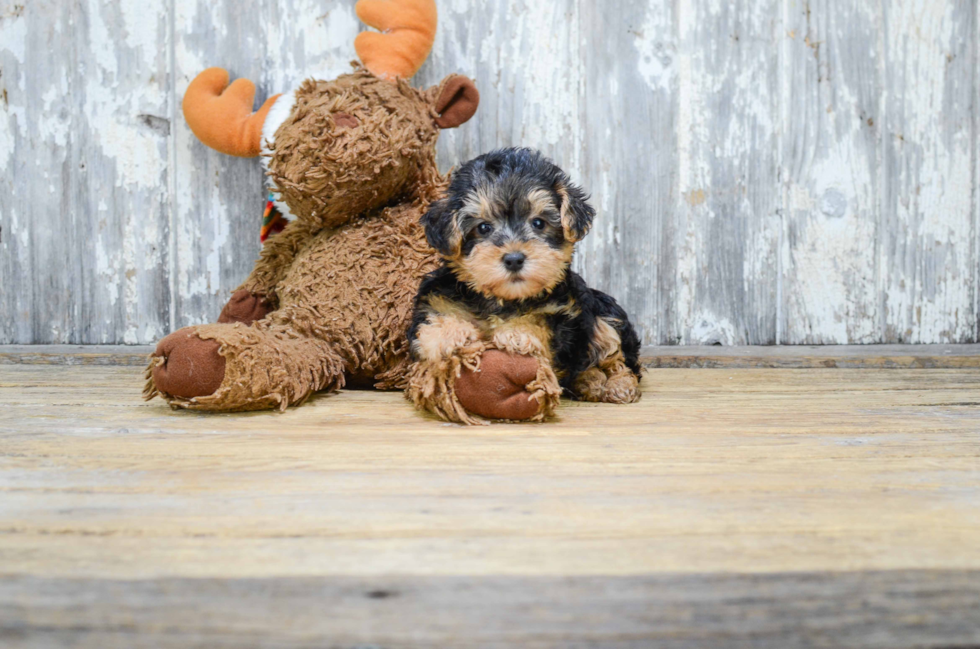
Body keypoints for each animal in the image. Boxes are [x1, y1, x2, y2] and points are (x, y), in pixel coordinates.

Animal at [402, 146, 640, 426]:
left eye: (538, 223)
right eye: (483, 228)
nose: (514, 258)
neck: (502, 299)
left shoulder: (559, 313)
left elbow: (537, 324)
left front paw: (518, 333)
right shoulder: (434, 299)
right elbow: (430, 324)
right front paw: (449, 334)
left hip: (604, 313)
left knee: (618, 357)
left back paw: (618, 385)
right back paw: (589, 381)